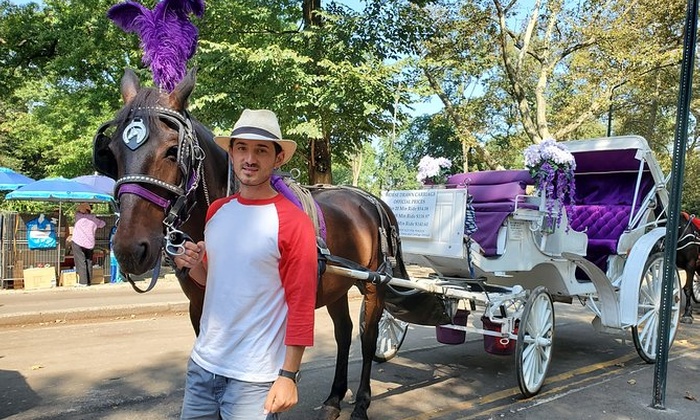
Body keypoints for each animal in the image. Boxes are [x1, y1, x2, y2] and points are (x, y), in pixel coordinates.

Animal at [90, 67, 424, 418]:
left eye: (172, 151)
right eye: (112, 153)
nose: (129, 248)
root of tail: (372, 201)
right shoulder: (201, 308)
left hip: (373, 285)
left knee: (368, 338)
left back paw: (360, 403)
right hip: (337, 284)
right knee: (344, 333)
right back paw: (334, 398)